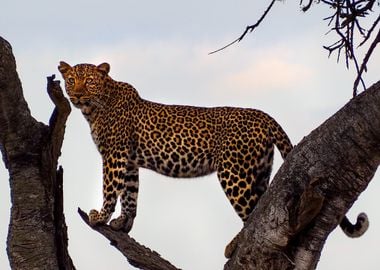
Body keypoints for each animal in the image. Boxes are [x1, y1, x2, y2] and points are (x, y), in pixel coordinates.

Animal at [58, 61, 368, 243]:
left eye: (89, 81)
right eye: (70, 80)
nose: (76, 94)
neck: (95, 107)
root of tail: (264, 115)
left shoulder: (115, 155)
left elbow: (111, 188)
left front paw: (100, 216)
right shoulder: (129, 159)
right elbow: (131, 193)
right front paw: (124, 223)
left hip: (234, 174)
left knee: (253, 215)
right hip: (259, 172)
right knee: (262, 210)